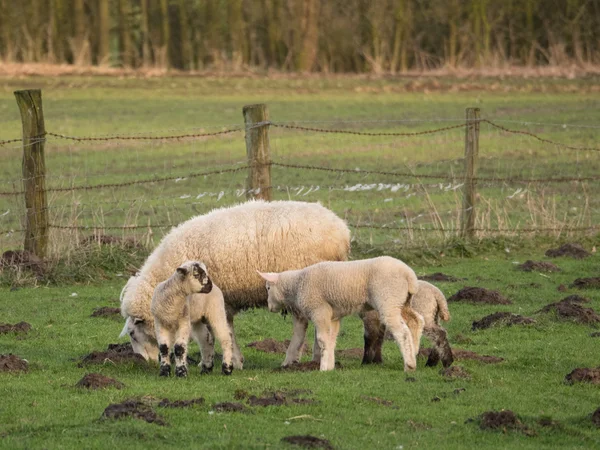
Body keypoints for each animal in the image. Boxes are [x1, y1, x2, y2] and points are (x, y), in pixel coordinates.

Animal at [119, 200, 360, 366]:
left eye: (132, 333)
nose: (144, 361)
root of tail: (342, 231)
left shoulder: (217, 300)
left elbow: (222, 331)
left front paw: (233, 361)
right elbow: (213, 333)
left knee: (301, 323)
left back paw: (290, 360)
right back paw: (315, 357)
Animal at [260, 256, 424, 372]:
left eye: (268, 288)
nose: (269, 307)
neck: (298, 283)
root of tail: (409, 275)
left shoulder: (319, 311)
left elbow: (322, 340)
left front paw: (323, 368)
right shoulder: (333, 316)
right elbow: (332, 340)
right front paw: (330, 367)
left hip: (388, 300)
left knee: (402, 332)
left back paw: (409, 365)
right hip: (403, 301)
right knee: (416, 321)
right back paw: (414, 353)